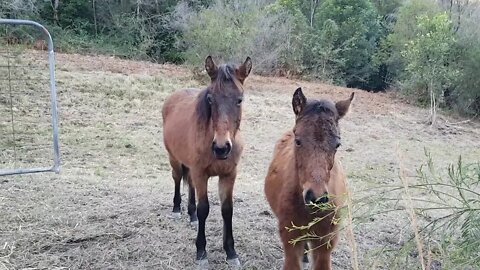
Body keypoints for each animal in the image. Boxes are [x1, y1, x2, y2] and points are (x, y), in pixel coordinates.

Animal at [162, 55, 251, 266]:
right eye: (210, 99)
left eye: (239, 100)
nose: (221, 147)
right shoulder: (201, 173)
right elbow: (204, 209)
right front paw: (201, 252)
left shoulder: (228, 175)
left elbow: (227, 210)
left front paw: (231, 252)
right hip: (174, 159)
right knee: (177, 179)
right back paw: (177, 209)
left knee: (190, 185)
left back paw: (191, 215)